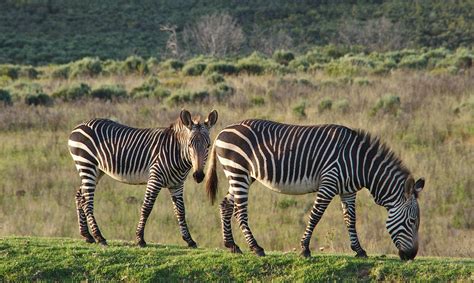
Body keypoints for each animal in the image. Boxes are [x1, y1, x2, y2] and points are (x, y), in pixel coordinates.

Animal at [67, 110, 218, 247]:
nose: (198, 175)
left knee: (80, 196)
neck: (176, 152)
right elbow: (147, 207)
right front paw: (140, 239)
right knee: (87, 201)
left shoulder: (177, 184)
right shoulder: (155, 178)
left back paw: (87, 235)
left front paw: (189, 240)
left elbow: (180, 211)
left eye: (208, 146)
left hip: (96, 170)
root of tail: (79, 126)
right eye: (190, 145)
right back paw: (99, 237)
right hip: (87, 164)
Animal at [206, 118, 426, 260]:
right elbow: (316, 215)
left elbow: (350, 219)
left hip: (243, 175)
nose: (411, 256)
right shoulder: (329, 182)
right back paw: (256, 247)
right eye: (412, 221)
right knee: (240, 211)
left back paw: (232, 246)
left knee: (226, 205)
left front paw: (359, 250)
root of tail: (222, 131)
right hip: (238, 170)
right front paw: (304, 249)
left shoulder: (348, 191)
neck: (359, 163)